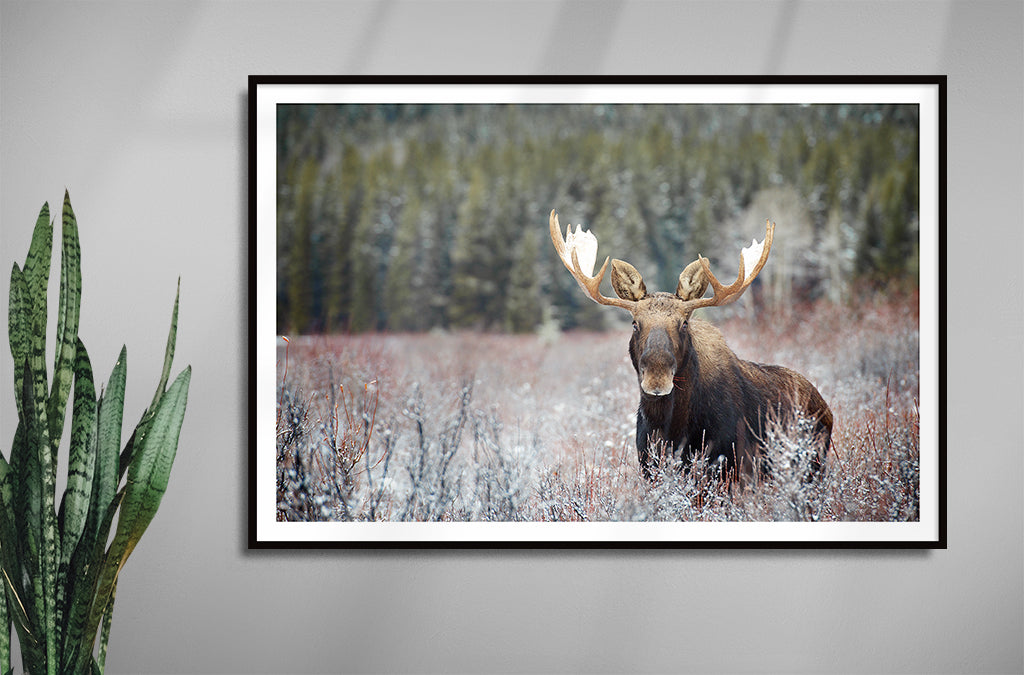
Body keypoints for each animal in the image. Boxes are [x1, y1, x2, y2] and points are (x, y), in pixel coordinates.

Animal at [549, 210, 832, 482]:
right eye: (635, 323)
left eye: (684, 323)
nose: (657, 379)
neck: (670, 428)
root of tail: (826, 408)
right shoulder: (649, 467)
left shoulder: (727, 467)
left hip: (812, 466)